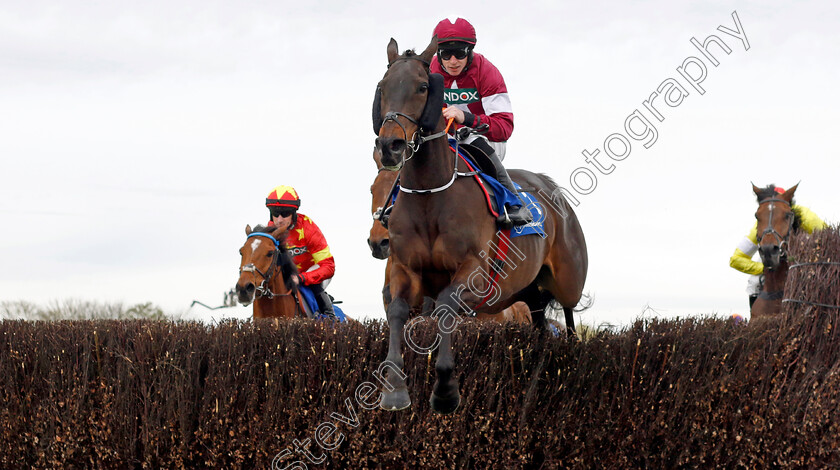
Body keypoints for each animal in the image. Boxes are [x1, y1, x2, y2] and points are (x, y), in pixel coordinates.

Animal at [370, 38, 588, 414]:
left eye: (423, 87)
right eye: (382, 87)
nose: (390, 145)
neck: (430, 194)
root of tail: (551, 188)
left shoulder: (476, 275)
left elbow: (445, 305)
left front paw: (445, 390)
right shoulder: (405, 270)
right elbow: (398, 310)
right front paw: (394, 388)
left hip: (567, 282)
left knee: (571, 322)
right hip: (527, 292)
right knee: (543, 336)